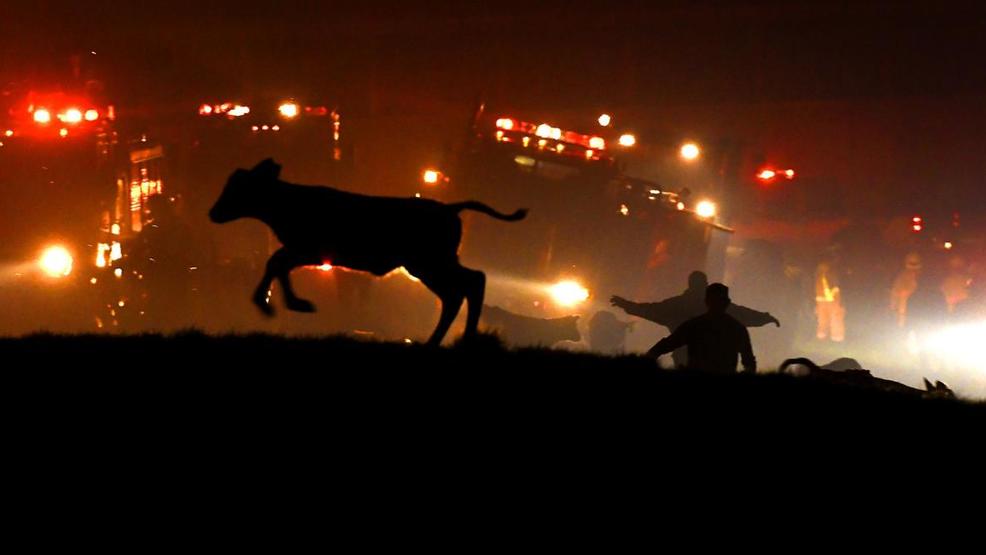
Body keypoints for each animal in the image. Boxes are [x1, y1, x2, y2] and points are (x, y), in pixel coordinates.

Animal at [210, 159, 528, 346]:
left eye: (237, 187)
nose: (213, 213)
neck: (288, 202)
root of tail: (451, 207)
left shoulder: (310, 251)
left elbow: (276, 262)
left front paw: (281, 303)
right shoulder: (304, 252)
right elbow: (276, 263)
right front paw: (282, 302)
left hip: (429, 263)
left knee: (469, 284)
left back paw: (452, 341)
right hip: (431, 264)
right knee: (463, 288)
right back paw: (445, 341)